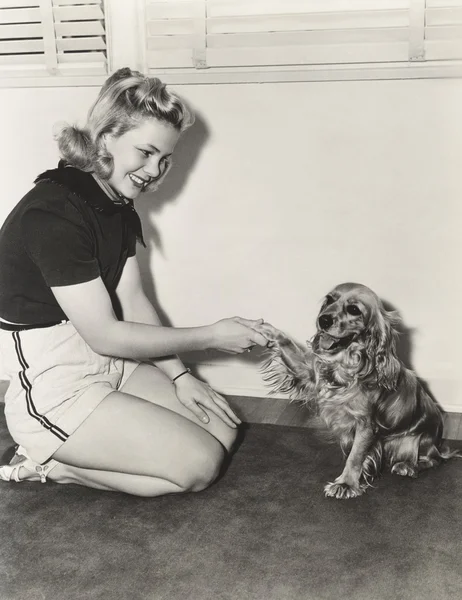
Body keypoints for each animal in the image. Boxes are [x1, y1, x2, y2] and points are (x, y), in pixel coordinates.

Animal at [260, 284, 458, 500]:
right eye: (329, 300)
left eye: (354, 309)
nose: (323, 320)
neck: (345, 364)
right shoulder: (311, 377)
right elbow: (288, 346)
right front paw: (266, 330)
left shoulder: (366, 424)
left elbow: (355, 457)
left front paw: (346, 484)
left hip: (412, 441)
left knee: (435, 460)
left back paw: (408, 466)